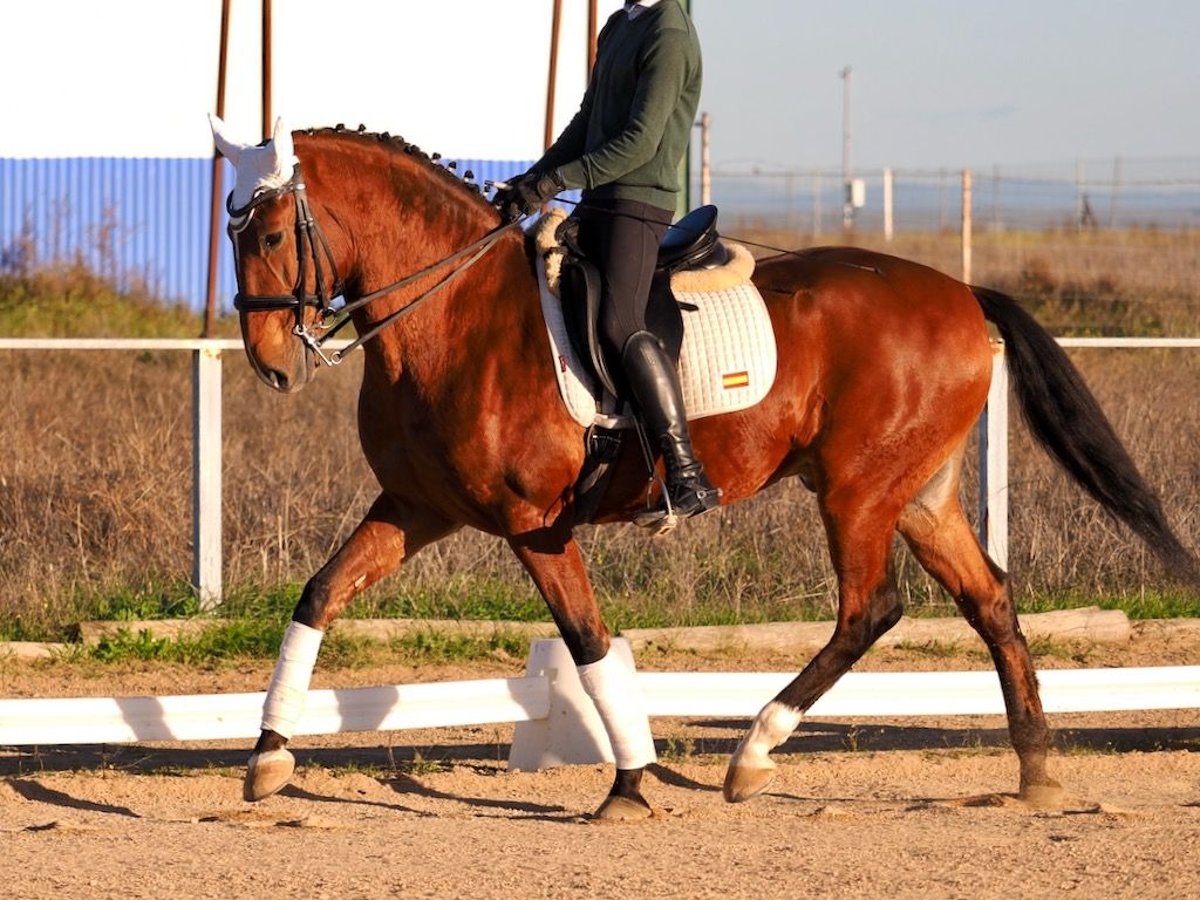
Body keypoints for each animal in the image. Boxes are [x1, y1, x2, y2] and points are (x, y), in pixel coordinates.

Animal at [211, 116, 1195, 820]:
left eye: (271, 234)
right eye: (234, 233)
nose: (271, 365)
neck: (453, 315)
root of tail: (961, 293)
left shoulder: (534, 525)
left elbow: (589, 642)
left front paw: (629, 785)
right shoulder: (418, 505)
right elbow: (317, 595)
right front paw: (267, 757)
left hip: (858, 490)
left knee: (870, 610)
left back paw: (754, 754)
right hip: (919, 494)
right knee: (989, 600)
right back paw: (1036, 773)